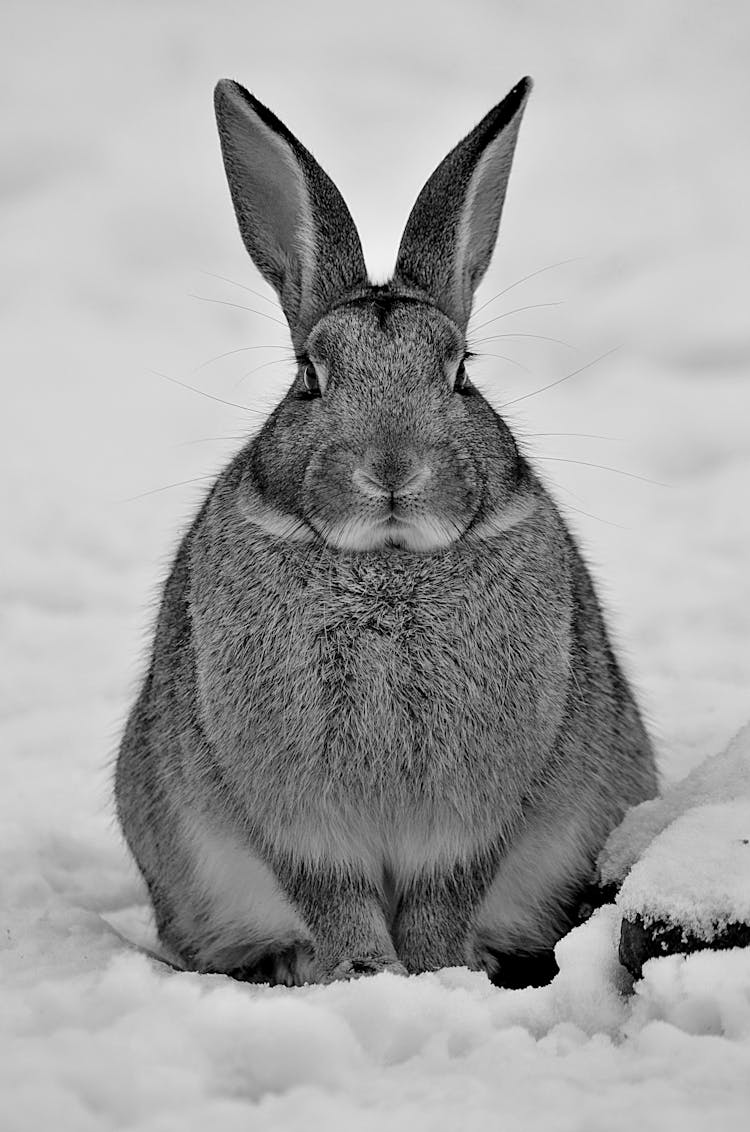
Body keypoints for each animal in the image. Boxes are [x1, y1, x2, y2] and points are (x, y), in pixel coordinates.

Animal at [115, 75, 656, 987]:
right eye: (309, 376)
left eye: (462, 371)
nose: (393, 468)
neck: (390, 563)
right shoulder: (296, 821)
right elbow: (332, 896)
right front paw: (365, 974)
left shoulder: (476, 818)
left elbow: (445, 897)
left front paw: (434, 976)